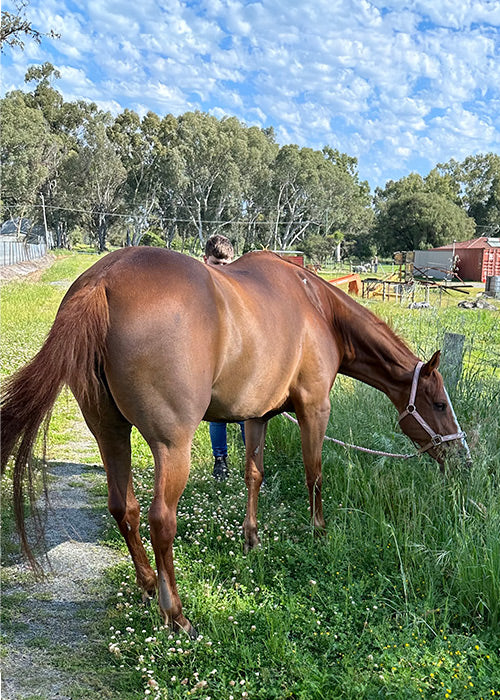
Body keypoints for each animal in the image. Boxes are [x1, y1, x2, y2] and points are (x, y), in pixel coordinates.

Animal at [0, 246, 468, 636]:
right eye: (440, 403)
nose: (461, 456)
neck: (317, 307)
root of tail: (104, 278)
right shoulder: (315, 408)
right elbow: (314, 473)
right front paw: (318, 530)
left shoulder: (256, 416)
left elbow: (253, 475)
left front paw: (252, 539)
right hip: (172, 446)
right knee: (160, 520)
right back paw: (176, 614)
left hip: (109, 432)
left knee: (124, 508)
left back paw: (148, 584)